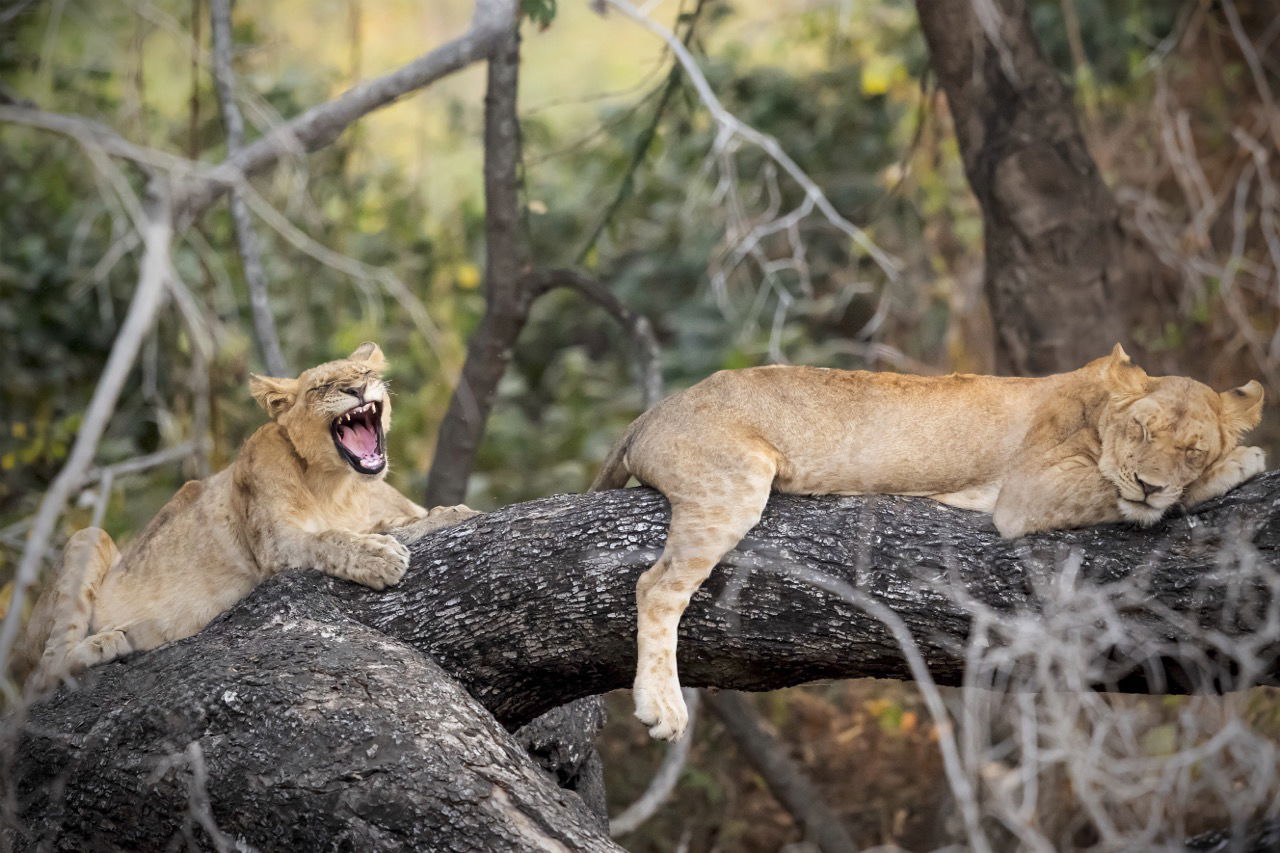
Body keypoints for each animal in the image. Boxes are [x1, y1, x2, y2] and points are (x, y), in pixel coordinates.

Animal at [14, 342, 478, 694]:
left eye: (364, 371)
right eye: (322, 386)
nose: (358, 387)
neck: (339, 485)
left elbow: (403, 522)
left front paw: (450, 513)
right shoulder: (276, 547)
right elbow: (331, 539)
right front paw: (380, 556)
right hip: (87, 538)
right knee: (44, 672)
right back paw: (110, 642)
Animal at [591, 345, 1266, 740]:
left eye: (1191, 448)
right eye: (1141, 430)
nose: (1151, 485)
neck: (1096, 410)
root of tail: (649, 415)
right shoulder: (1030, 494)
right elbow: (1116, 492)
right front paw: (1243, 462)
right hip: (734, 479)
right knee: (657, 585)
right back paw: (662, 706)